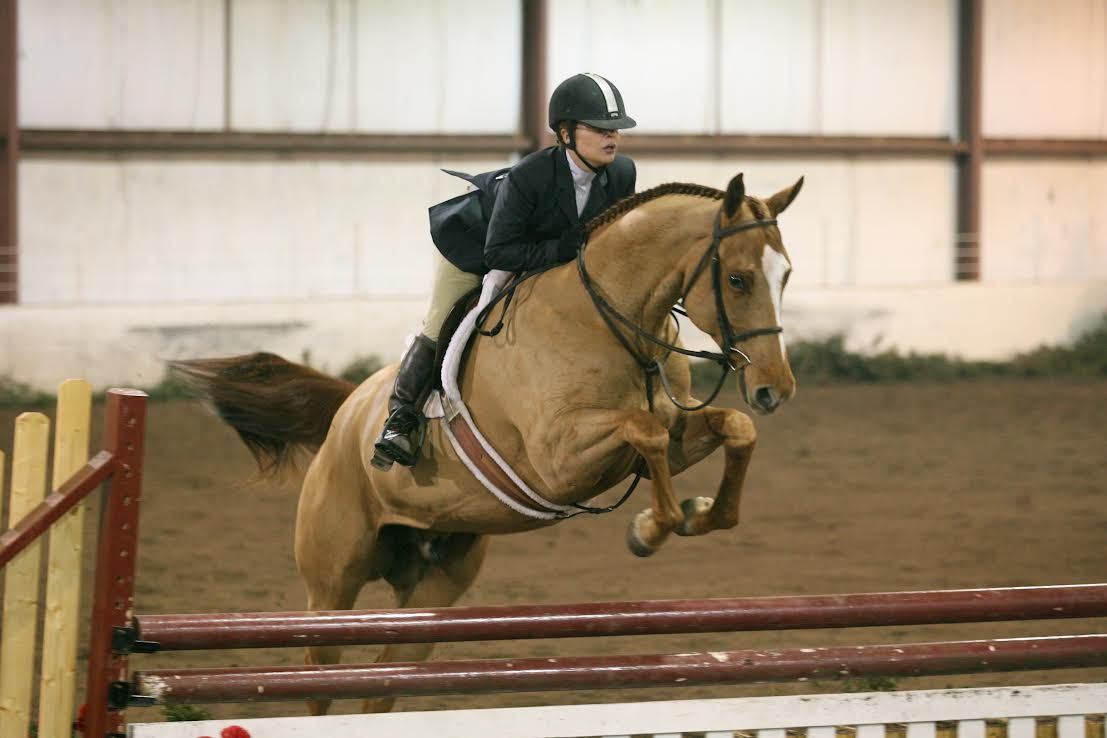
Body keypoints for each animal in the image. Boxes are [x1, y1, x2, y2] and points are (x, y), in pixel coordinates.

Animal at [172, 172, 803, 714]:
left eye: (786, 276)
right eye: (738, 279)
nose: (775, 390)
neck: (614, 322)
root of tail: (345, 415)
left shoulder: (666, 437)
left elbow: (732, 429)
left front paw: (695, 513)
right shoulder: (559, 459)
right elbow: (641, 429)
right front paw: (654, 528)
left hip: (432, 590)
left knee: (382, 681)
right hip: (331, 584)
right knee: (318, 672)